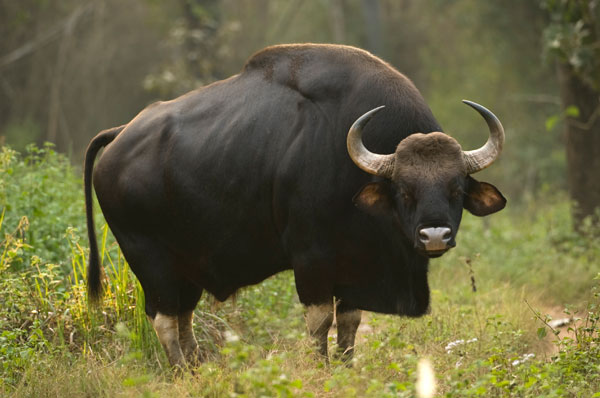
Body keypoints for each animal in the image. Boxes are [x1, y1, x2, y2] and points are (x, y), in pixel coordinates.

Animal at [85, 43, 506, 366]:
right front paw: (322, 367)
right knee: (164, 319)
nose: (434, 235)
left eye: (456, 188)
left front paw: (345, 367)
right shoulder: (311, 261)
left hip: (185, 266)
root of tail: (120, 134)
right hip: (149, 261)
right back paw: (180, 371)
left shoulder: (355, 268)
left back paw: (196, 367)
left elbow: (349, 323)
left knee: (184, 315)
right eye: (404, 190)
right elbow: (319, 323)